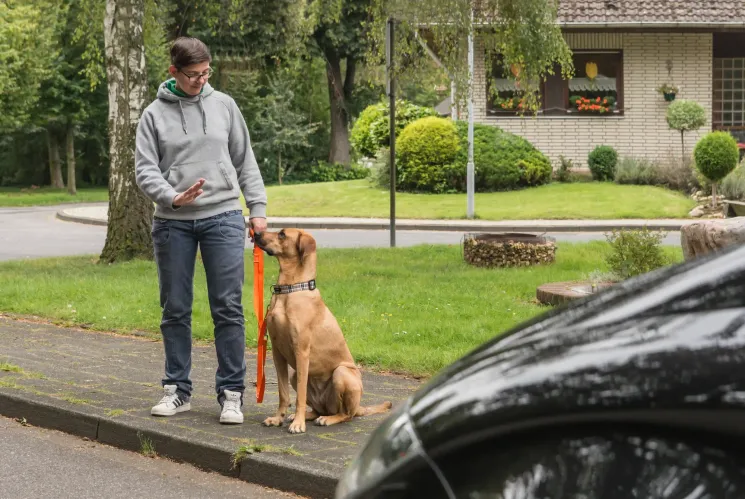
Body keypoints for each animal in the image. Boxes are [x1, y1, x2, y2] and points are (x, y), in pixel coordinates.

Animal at [256, 229, 392, 434]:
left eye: (282, 234)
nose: (256, 233)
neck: (290, 289)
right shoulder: (278, 352)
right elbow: (283, 393)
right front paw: (278, 418)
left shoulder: (301, 351)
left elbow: (299, 396)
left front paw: (298, 424)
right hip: (295, 376)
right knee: (319, 408)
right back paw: (307, 415)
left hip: (342, 373)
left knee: (346, 414)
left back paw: (327, 419)